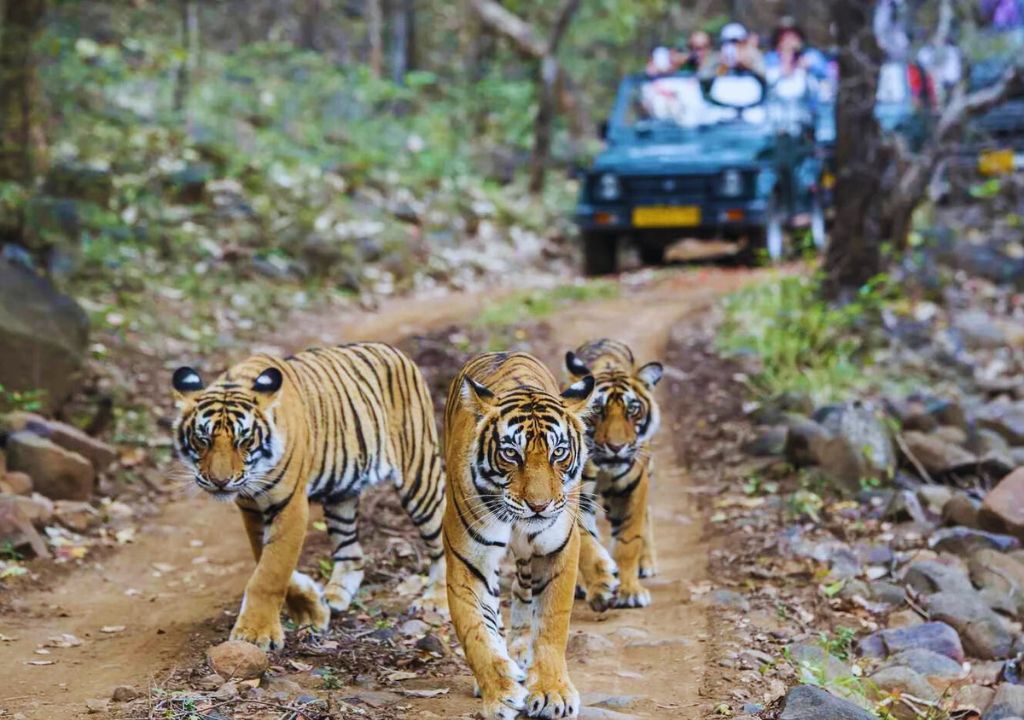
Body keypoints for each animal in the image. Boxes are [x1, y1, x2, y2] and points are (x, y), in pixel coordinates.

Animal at [170, 342, 446, 650]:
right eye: (202, 440)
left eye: (245, 441)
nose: (220, 481)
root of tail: (394, 351)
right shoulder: (252, 508)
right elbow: (264, 559)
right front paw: (311, 608)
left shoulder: (289, 505)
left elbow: (271, 571)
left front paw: (256, 633)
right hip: (341, 494)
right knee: (351, 552)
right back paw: (335, 597)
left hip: (419, 475)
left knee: (441, 540)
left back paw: (436, 600)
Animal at [442, 352, 595, 720]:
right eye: (511, 453)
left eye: (558, 452)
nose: (538, 506)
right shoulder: (469, 560)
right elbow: (476, 631)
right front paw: (500, 693)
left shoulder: (558, 550)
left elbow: (552, 624)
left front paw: (553, 693)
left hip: (530, 555)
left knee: (524, 592)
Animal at [565, 339, 663, 610]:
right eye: (598, 410)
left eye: (632, 410)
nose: (616, 447)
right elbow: (586, 542)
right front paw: (601, 585)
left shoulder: (633, 487)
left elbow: (628, 540)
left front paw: (630, 591)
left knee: (648, 513)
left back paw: (647, 563)